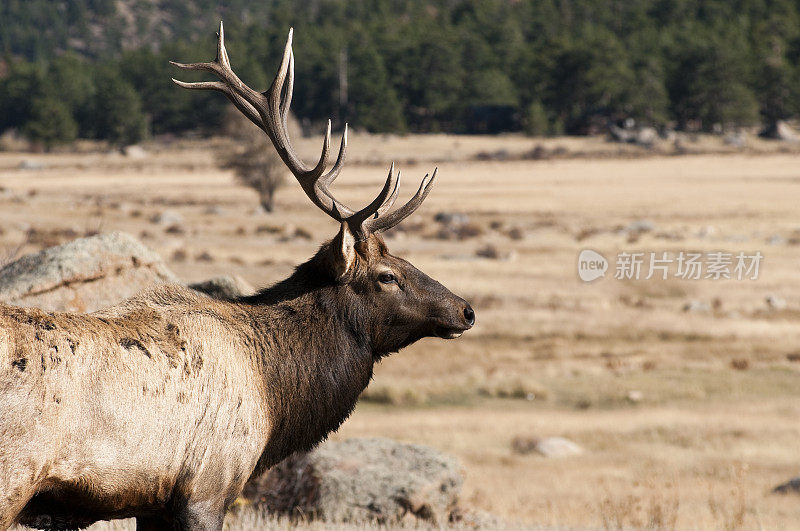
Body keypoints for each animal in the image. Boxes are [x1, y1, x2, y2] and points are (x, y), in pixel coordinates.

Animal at [0, 22, 472, 528]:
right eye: (386, 275)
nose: (466, 309)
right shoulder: (208, 486)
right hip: (14, 474)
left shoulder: (151, 502)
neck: (276, 398)